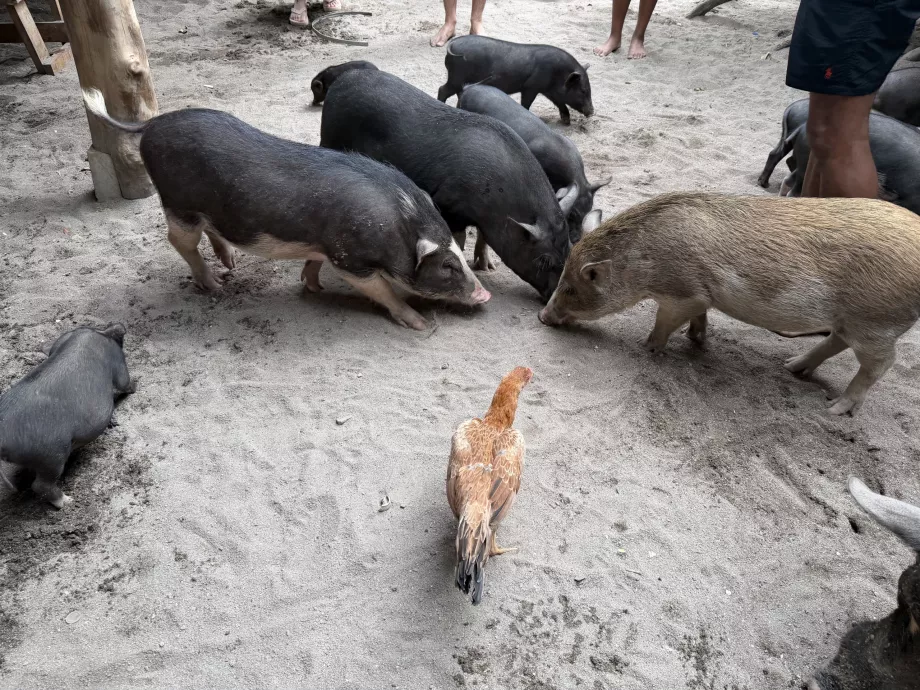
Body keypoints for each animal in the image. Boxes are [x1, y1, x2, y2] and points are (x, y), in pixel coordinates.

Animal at [0, 324, 135, 509]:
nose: (121, 326)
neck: (100, 334)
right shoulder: (119, 363)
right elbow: (125, 383)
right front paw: (136, 384)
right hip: (52, 454)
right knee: (40, 485)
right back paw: (69, 502)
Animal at [82, 88, 489, 331]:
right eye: (448, 266)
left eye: (459, 254)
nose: (484, 295)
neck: (400, 222)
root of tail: (151, 123)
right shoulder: (351, 258)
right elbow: (383, 291)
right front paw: (422, 325)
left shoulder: (326, 246)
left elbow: (313, 262)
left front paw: (313, 287)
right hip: (178, 203)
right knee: (179, 240)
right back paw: (216, 286)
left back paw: (230, 264)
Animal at [437, 36, 594, 125]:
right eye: (583, 90)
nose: (592, 112)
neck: (558, 74)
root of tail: (452, 44)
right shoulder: (531, 87)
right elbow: (526, 103)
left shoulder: (548, 90)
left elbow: (560, 102)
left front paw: (566, 122)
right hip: (456, 77)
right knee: (442, 89)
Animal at [538, 192, 920, 415]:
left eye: (570, 288)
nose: (541, 317)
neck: (642, 262)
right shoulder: (700, 296)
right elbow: (699, 318)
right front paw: (696, 339)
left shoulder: (683, 292)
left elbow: (664, 322)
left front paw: (646, 347)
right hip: (849, 321)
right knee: (836, 342)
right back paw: (791, 367)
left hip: (874, 323)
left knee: (881, 363)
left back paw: (833, 409)